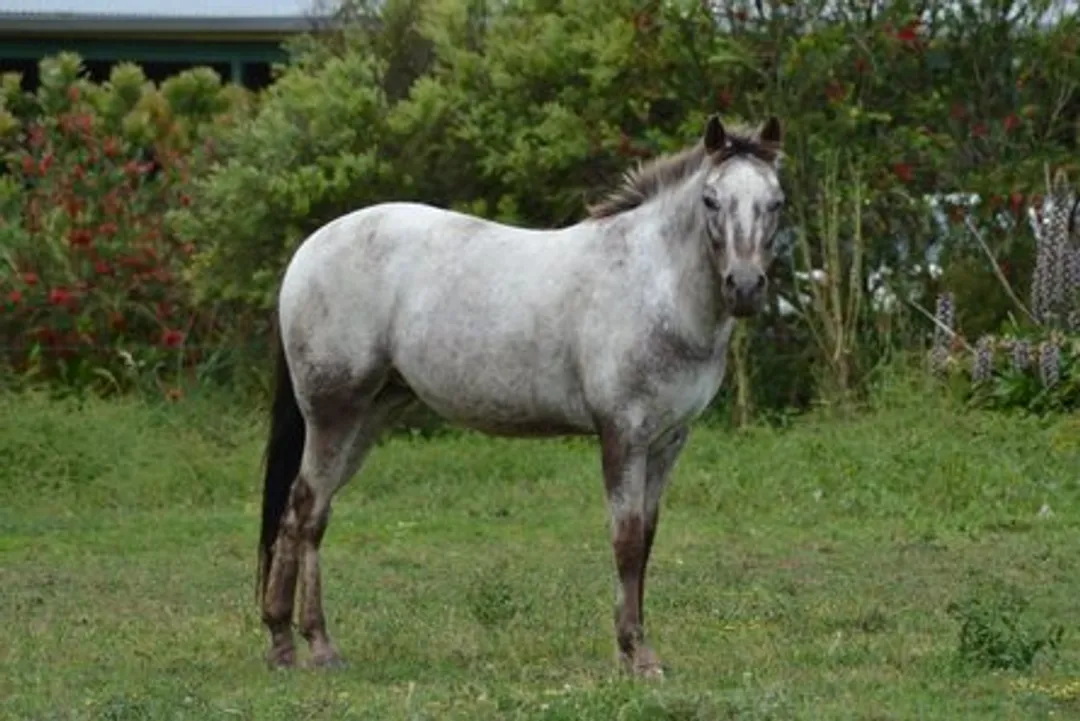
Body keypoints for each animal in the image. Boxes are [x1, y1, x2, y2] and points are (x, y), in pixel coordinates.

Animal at [256, 113, 786, 678]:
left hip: (367, 417)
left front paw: (636, 649)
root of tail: (311, 250)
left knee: (307, 512)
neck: (653, 286)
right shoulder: (623, 435)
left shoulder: (668, 440)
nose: (745, 287)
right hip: (333, 413)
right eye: (710, 199)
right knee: (306, 512)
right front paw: (636, 656)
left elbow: (645, 540)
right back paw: (306, 644)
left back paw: (292, 643)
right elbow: (624, 541)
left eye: (776, 201)